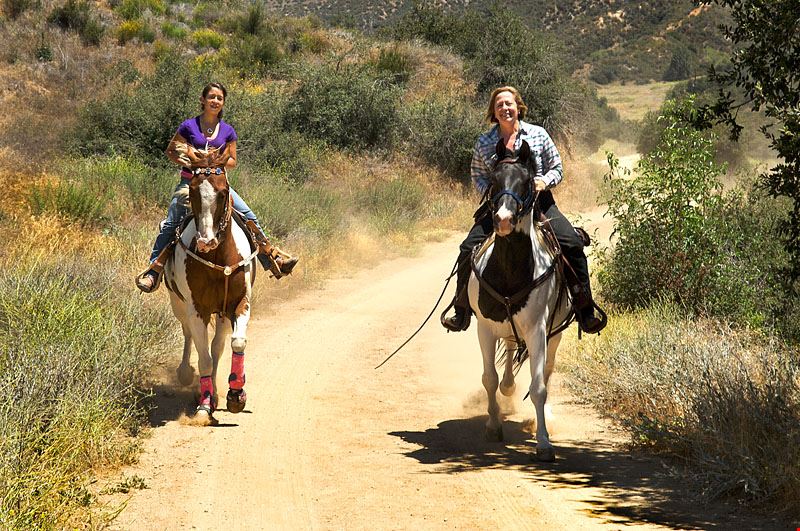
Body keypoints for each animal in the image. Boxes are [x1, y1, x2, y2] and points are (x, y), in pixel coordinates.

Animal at [163, 168, 258, 423]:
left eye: (224, 193)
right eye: (193, 192)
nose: (206, 241)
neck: (218, 259)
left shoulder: (238, 304)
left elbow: (234, 343)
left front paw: (236, 394)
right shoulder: (197, 310)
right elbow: (203, 357)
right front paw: (204, 405)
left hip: (221, 313)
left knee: (217, 347)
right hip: (179, 305)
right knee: (188, 335)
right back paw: (186, 373)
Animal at [468, 139, 572, 462]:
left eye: (526, 182)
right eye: (493, 180)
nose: (502, 220)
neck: (511, 269)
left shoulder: (538, 330)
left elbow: (538, 387)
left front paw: (544, 443)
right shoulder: (485, 328)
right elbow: (488, 378)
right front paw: (493, 426)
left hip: (555, 335)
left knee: (547, 372)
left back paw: (545, 416)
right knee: (510, 353)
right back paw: (508, 386)